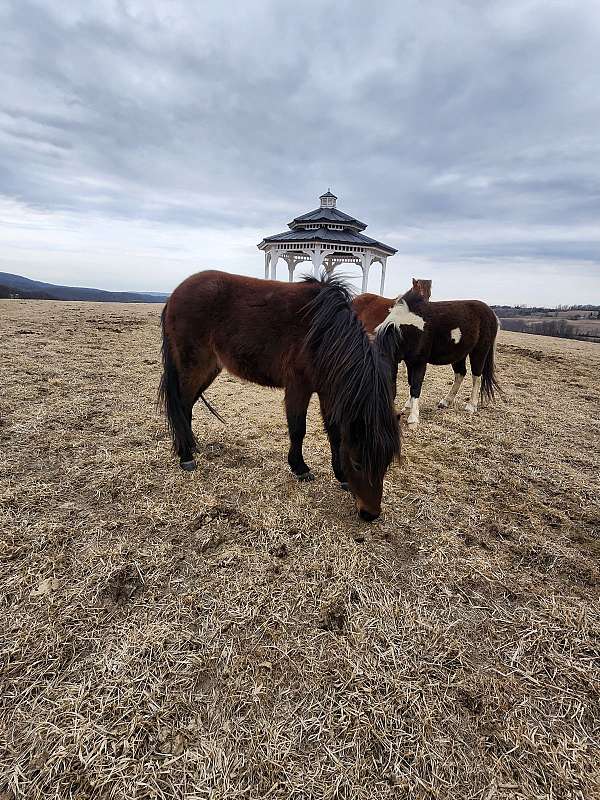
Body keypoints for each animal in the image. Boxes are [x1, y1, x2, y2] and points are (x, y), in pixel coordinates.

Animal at [161, 270, 404, 520]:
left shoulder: (328, 392)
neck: (323, 333)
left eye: (387, 462)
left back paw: (191, 446)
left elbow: (335, 433)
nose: (370, 514)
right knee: (182, 406)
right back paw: (185, 456)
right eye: (357, 463)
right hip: (194, 366)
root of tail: (176, 293)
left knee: (187, 407)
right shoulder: (298, 387)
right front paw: (300, 468)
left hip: (210, 368)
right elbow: (298, 429)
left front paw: (340, 477)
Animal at [372, 284, 500, 428]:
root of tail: (491, 313)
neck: (405, 330)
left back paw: (471, 406)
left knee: (476, 376)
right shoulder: (408, 361)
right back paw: (446, 401)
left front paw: (413, 418)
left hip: (479, 352)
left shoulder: (419, 362)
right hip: (459, 354)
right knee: (460, 374)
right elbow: (410, 382)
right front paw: (409, 406)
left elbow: (415, 386)